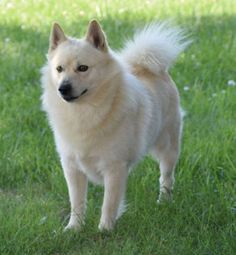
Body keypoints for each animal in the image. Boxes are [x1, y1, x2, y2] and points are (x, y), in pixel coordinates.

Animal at [40, 20, 188, 231]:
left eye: (83, 68)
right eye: (59, 69)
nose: (63, 88)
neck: (85, 112)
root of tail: (151, 68)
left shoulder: (114, 167)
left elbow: (109, 203)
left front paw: (105, 230)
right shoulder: (71, 166)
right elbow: (77, 201)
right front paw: (74, 228)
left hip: (168, 147)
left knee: (166, 177)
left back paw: (164, 201)